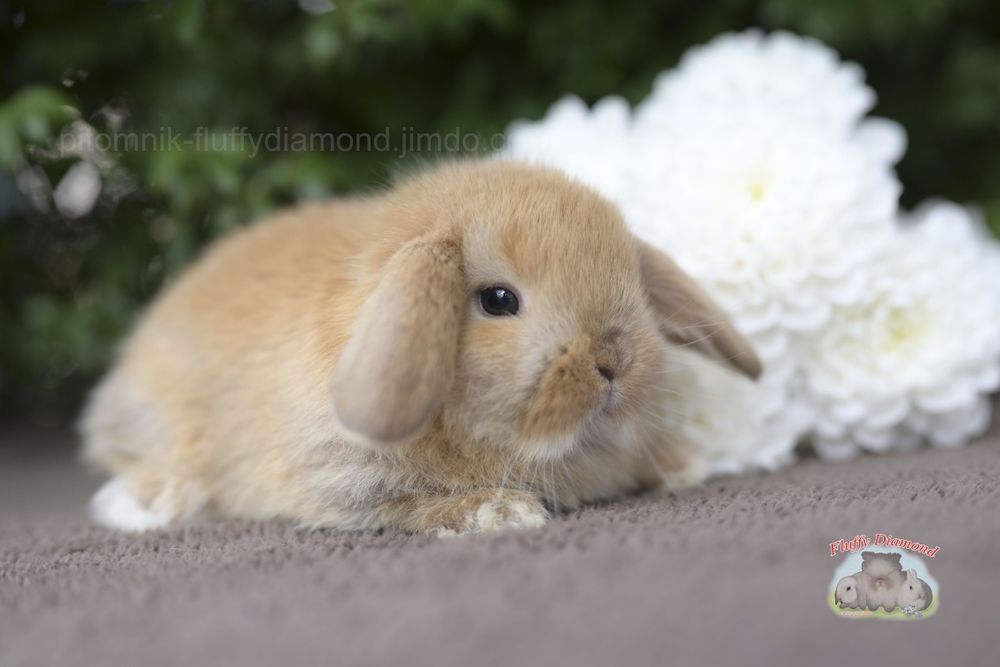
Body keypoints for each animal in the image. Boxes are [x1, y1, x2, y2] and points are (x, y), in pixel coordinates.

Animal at [80, 159, 761, 535]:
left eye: (633, 281)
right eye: (498, 300)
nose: (614, 363)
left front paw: (686, 463)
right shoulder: (342, 479)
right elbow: (410, 505)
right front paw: (500, 514)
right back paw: (146, 501)